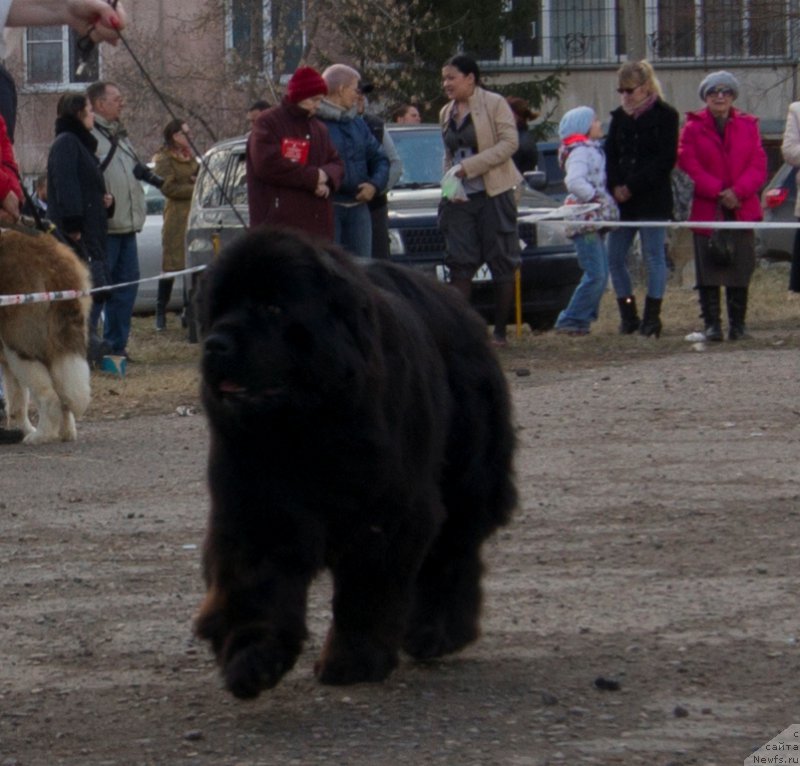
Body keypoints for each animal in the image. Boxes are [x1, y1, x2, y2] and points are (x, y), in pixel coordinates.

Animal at [0, 230, 91, 444]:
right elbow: (16, 402)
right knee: (61, 392)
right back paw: (65, 432)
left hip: (19, 345)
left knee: (48, 395)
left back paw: (40, 436)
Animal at [197, 228, 516, 704]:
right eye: (219, 308)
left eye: (273, 308)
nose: (215, 343)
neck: (305, 428)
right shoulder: (258, 507)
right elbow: (255, 581)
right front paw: (253, 658)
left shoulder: (388, 514)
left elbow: (367, 591)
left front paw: (352, 662)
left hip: (467, 474)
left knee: (453, 554)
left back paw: (436, 633)